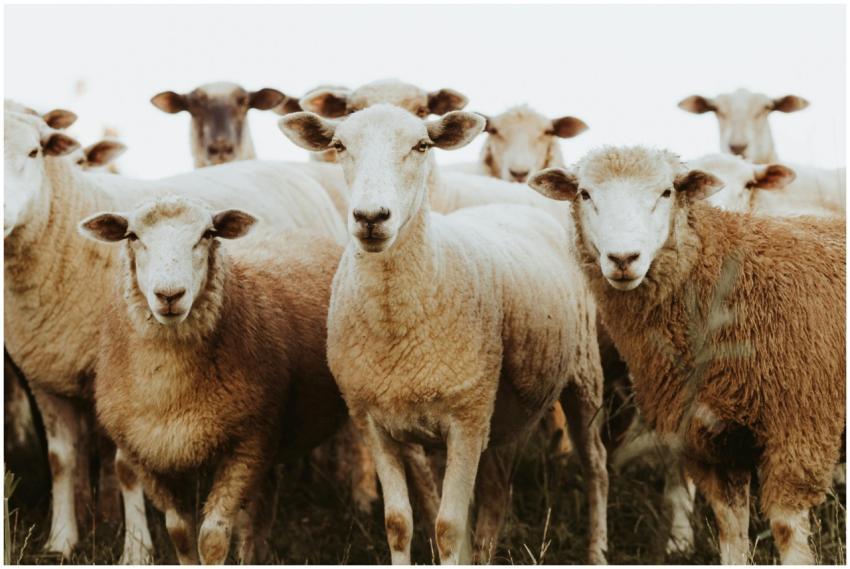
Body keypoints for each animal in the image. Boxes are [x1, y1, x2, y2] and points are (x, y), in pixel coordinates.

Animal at [78, 196, 347, 564]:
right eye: (132, 236)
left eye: (207, 234)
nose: (169, 295)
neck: (170, 391)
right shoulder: (150, 455)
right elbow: (180, 534)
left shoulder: (246, 444)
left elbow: (213, 537)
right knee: (262, 510)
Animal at [528, 145, 845, 564]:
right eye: (585, 193)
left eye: (667, 192)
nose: (623, 258)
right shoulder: (708, 438)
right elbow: (730, 530)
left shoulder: (799, 432)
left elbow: (787, 530)